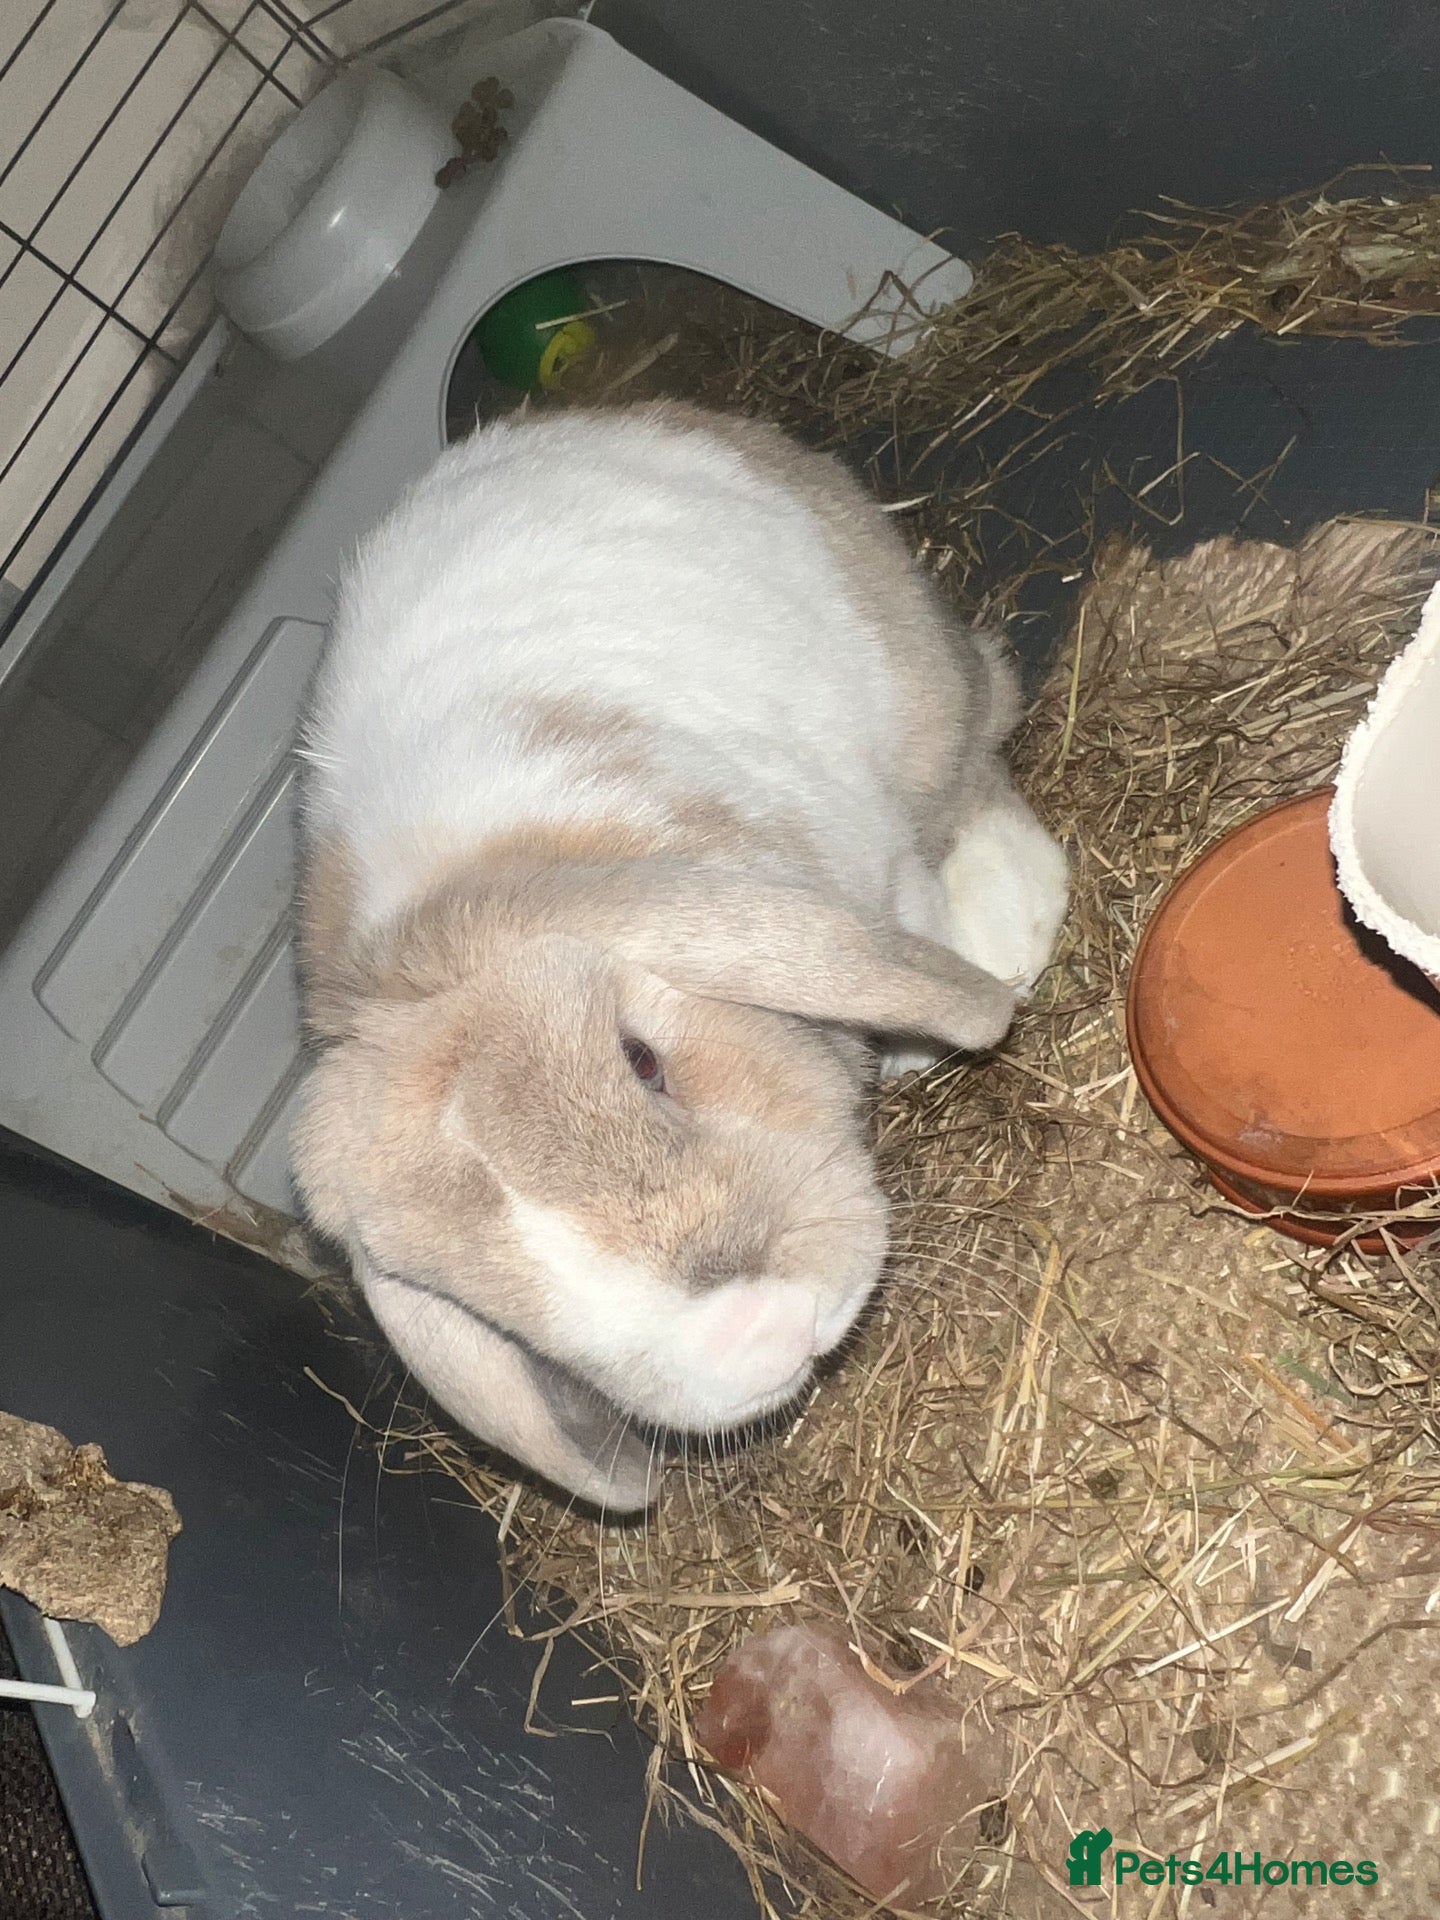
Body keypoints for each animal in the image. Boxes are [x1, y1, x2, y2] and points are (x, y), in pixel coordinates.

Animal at [291, 400, 1067, 1513]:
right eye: (476, 1293)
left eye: (644, 1059)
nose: (759, 1335)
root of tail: (582, 419)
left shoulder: (875, 863)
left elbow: (915, 921)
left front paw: (961, 1007)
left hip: (915, 681)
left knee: (976, 744)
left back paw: (1013, 923)